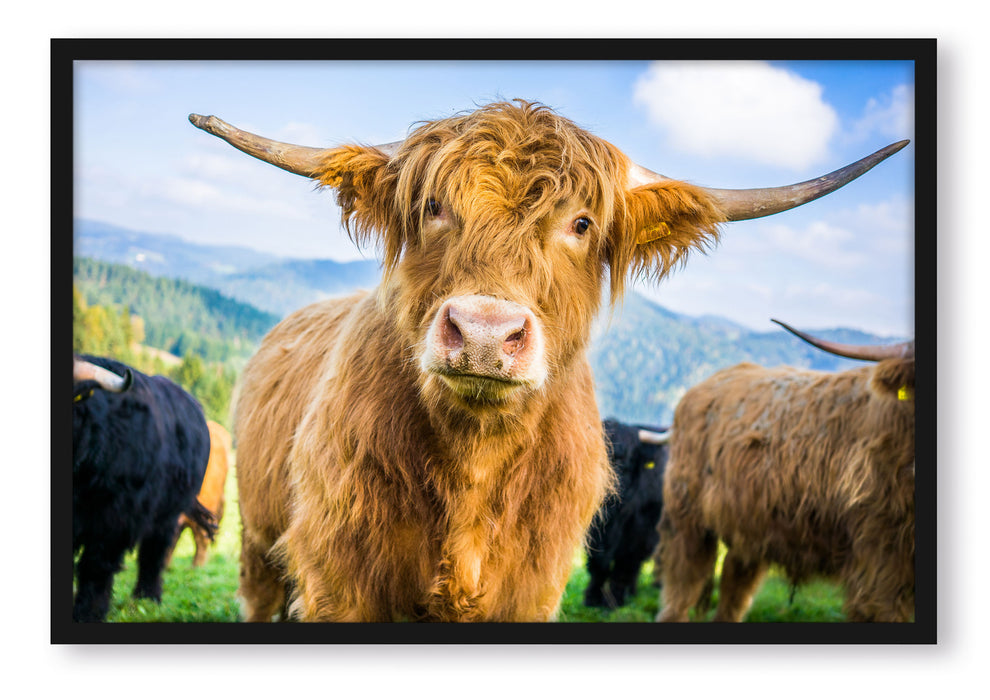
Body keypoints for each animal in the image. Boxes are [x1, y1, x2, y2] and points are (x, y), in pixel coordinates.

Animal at [72, 355, 215, 622]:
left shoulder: (114, 518)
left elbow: (96, 564)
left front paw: (88, 613)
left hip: (167, 514)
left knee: (154, 553)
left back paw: (147, 597)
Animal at [584, 419, 669, 609]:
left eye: (627, 461)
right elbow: (598, 565)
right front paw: (592, 599)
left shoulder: (639, 533)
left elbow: (624, 566)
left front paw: (613, 603)